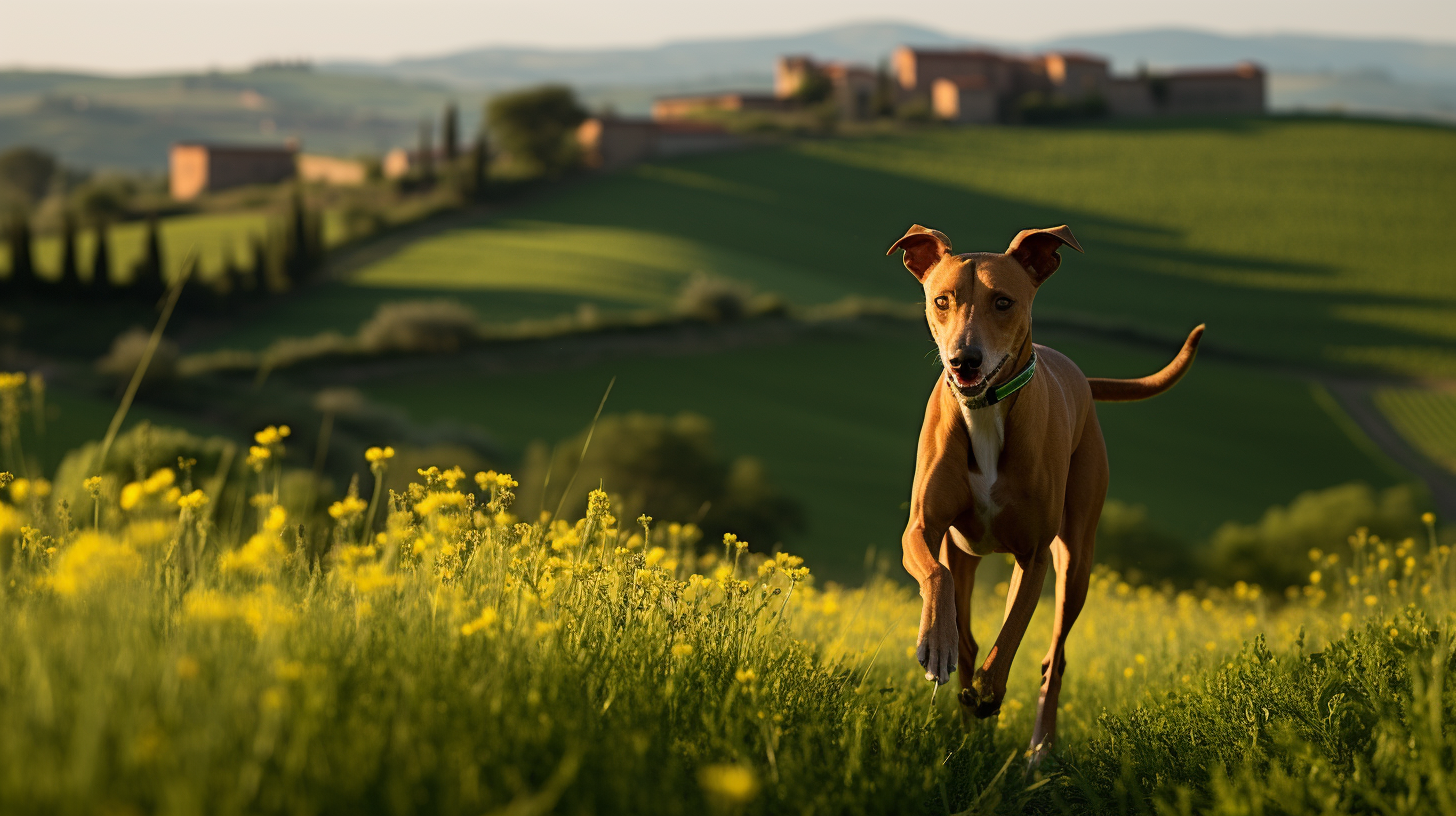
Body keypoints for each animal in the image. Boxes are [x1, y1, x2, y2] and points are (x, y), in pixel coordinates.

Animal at [885, 224, 1205, 763]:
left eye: (1003, 301)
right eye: (942, 300)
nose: (964, 360)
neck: (985, 412)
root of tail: (1077, 375)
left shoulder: (1033, 553)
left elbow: (1013, 631)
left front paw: (989, 692)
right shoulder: (924, 530)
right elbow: (936, 580)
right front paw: (937, 644)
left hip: (1076, 559)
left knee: (1054, 657)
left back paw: (1038, 748)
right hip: (964, 552)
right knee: (967, 623)